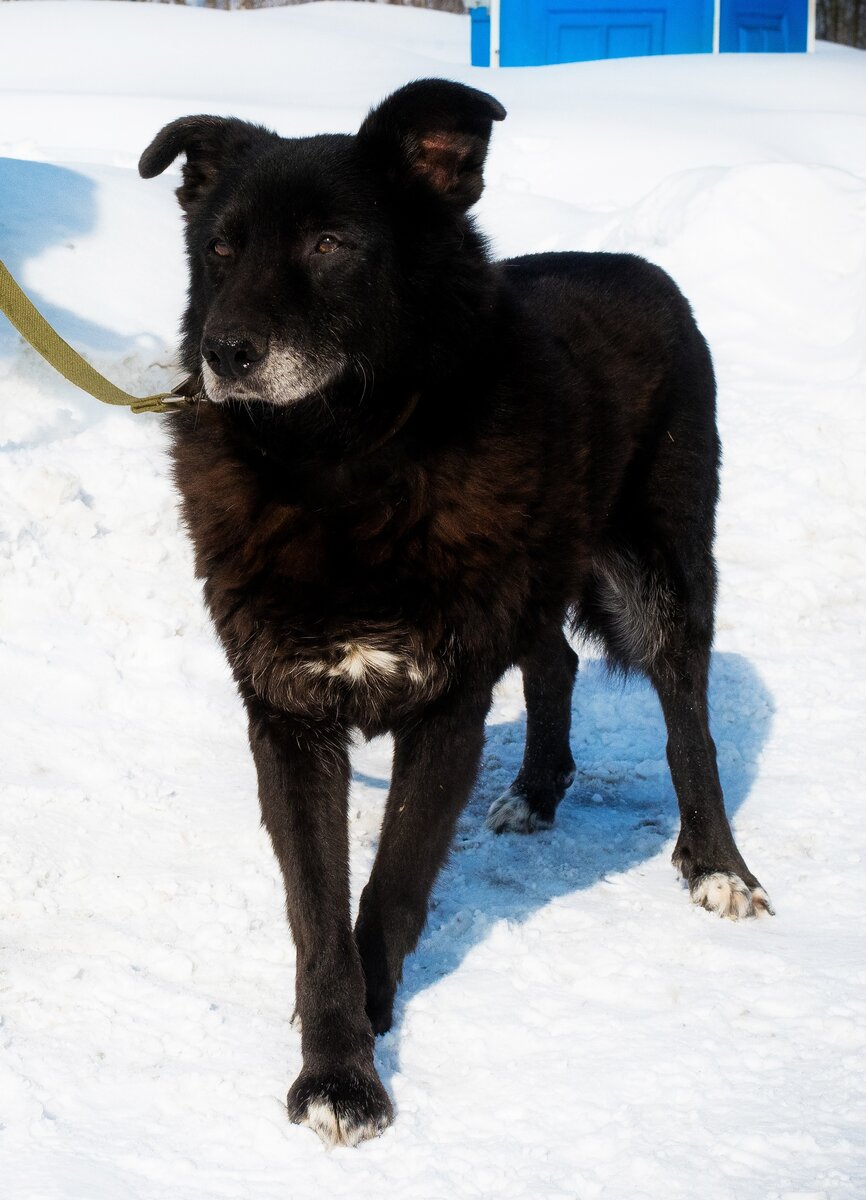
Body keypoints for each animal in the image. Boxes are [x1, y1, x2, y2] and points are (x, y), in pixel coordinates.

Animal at [139, 79, 767, 1147]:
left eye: (331, 242)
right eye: (220, 247)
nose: (227, 353)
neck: (337, 466)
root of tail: (636, 265)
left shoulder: (445, 709)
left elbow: (390, 888)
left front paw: (364, 1035)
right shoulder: (289, 718)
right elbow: (318, 913)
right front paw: (335, 1060)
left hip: (659, 575)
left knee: (688, 719)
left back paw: (717, 864)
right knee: (555, 662)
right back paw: (539, 791)